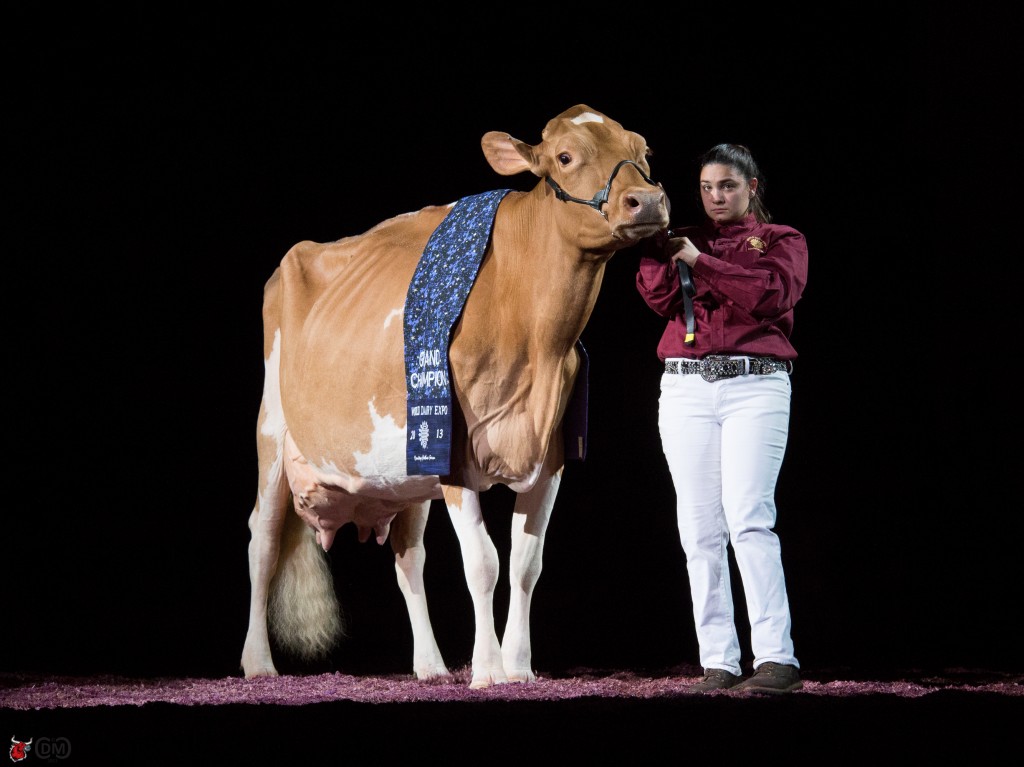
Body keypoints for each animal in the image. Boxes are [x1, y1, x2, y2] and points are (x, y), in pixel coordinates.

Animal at [241, 104, 670, 688]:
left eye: (642, 150)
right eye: (564, 156)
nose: (646, 201)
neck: (535, 341)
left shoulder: (551, 455)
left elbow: (526, 564)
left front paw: (519, 666)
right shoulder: (457, 454)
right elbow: (483, 563)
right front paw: (487, 669)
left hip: (405, 474)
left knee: (408, 558)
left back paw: (430, 665)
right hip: (273, 432)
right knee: (260, 542)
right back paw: (258, 663)